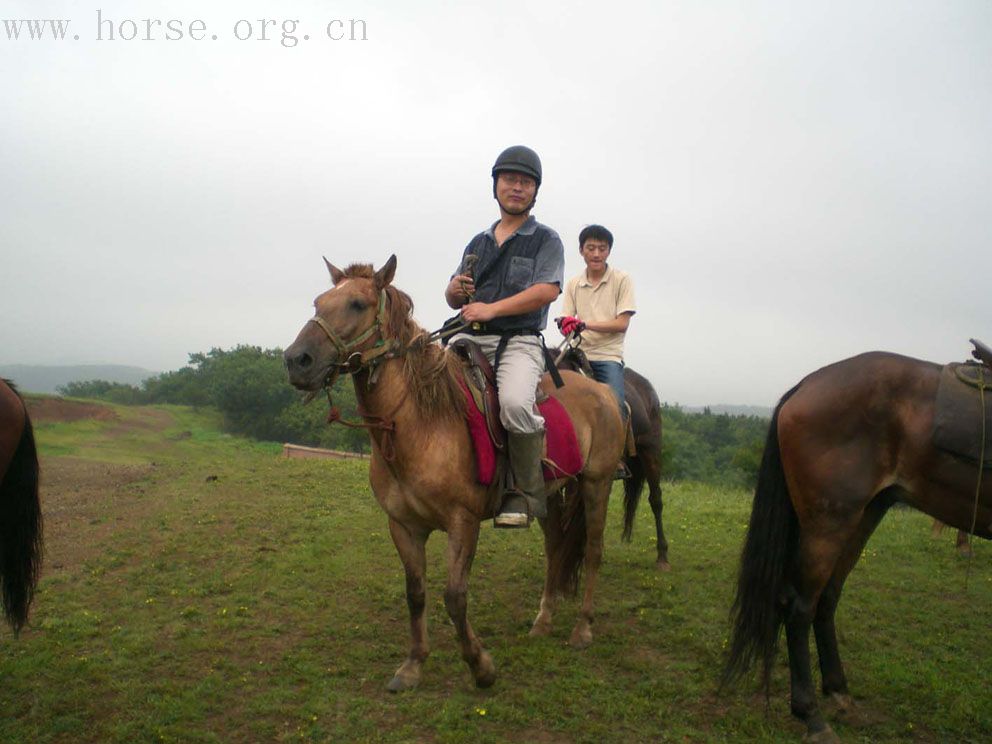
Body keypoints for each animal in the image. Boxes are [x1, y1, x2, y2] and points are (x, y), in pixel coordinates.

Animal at [282, 256, 624, 692]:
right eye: (319, 301)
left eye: (358, 304)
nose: (297, 360)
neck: (418, 422)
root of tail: (603, 394)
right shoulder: (404, 525)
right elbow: (416, 593)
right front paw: (413, 665)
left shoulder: (463, 522)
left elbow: (455, 596)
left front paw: (481, 666)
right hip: (547, 496)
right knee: (555, 549)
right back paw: (543, 621)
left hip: (597, 484)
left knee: (593, 550)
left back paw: (582, 629)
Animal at [724, 352, 988, 740]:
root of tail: (805, 386)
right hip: (830, 523)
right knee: (800, 606)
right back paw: (811, 715)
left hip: (865, 514)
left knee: (827, 598)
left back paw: (839, 693)